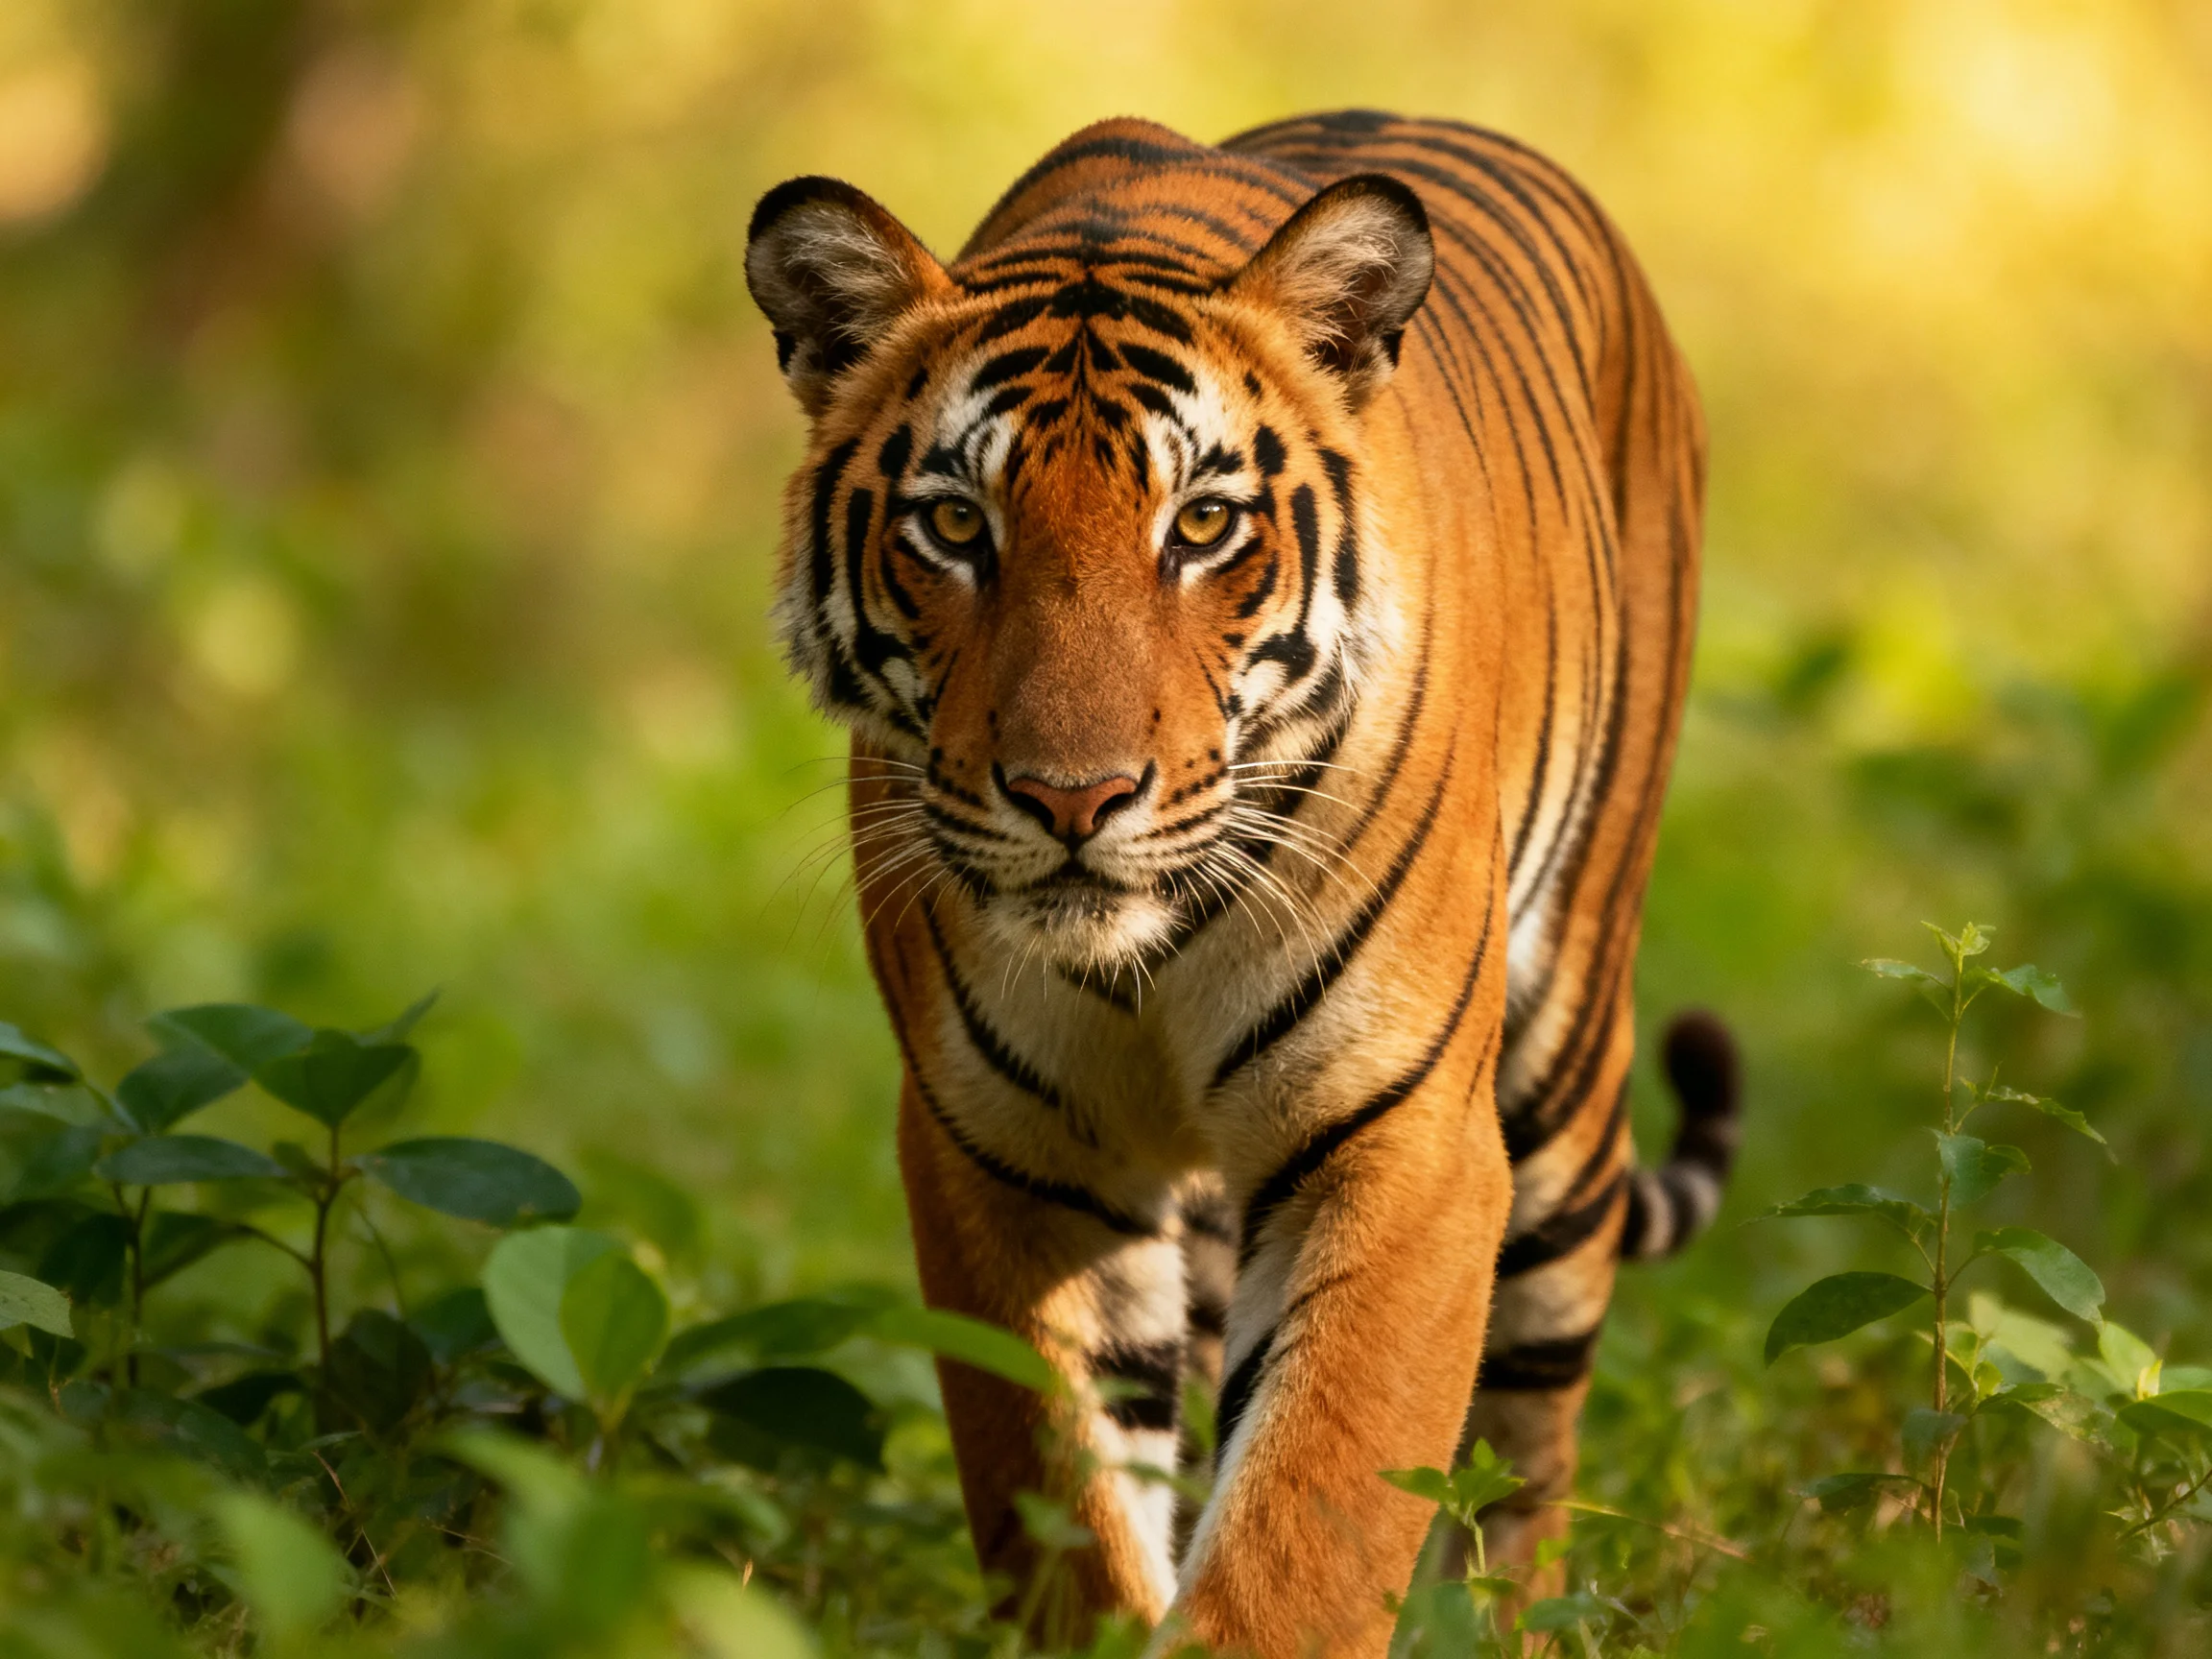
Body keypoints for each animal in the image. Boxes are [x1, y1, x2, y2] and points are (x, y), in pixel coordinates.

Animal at [745, 110, 1740, 1656]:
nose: (1072, 797)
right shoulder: (1005, 1153)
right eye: (956, 527)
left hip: (1567, 1074)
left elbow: (1305, 1525)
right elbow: (1069, 1515)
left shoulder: (1399, 1142)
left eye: (1203, 526)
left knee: (1529, 1457)